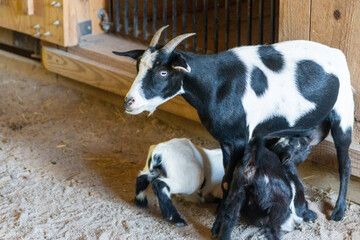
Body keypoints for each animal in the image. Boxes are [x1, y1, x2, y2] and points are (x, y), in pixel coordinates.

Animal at [113, 25, 354, 232]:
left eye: (163, 72)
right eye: (137, 67)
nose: (129, 102)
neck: (218, 83)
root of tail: (337, 53)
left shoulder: (240, 139)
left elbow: (231, 182)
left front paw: (220, 222)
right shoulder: (225, 140)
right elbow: (226, 178)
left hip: (343, 114)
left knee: (345, 163)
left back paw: (338, 211)